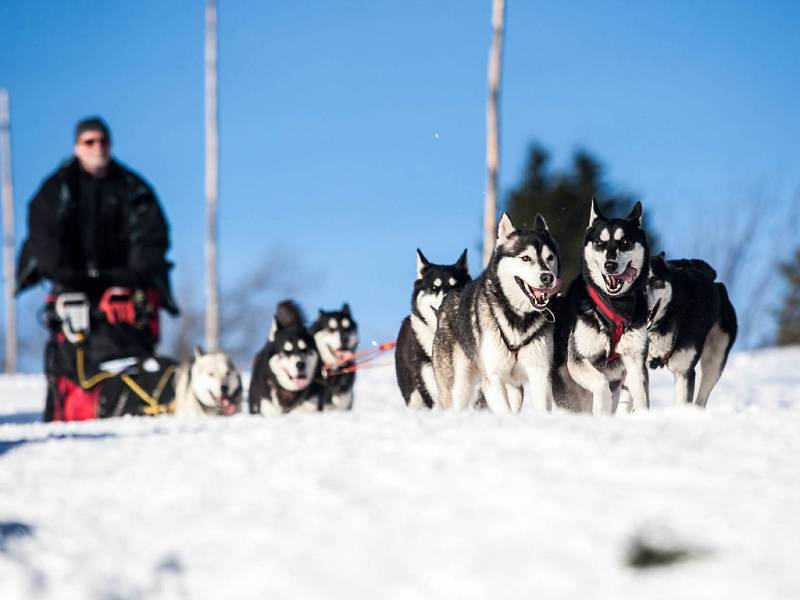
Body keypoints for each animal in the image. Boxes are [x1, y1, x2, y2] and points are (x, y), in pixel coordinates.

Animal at [432, 213, 564, 414]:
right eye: (526, 258)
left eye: (550, 258)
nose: (547, 277)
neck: (518, 316)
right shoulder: (493, 377)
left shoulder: (539, 372)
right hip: (458, 386)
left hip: (514, 388)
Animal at [552, 199, 652, 414]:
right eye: (600, 243)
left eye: (626, 242)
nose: (610, 265)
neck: (614, 305)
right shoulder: (578, 359)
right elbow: (601, 382)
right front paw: (601, 410)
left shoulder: (634, 359)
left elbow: (641, 394)